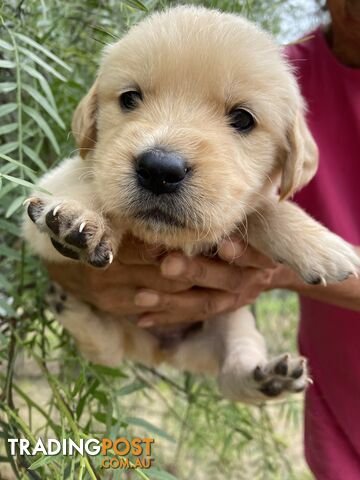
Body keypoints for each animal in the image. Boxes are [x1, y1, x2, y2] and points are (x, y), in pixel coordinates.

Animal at [22, 7, 358, 404]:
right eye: (130, 98)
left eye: (242, 118)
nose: (159, 170)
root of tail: (161, 351)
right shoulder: (47, 195)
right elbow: (89, 183)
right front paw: (81, 217)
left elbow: (263, 208)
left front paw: (322, 245)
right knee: (106, 348)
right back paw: (71, 307)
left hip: (235, 321)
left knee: (232, 372)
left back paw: (269, 378)